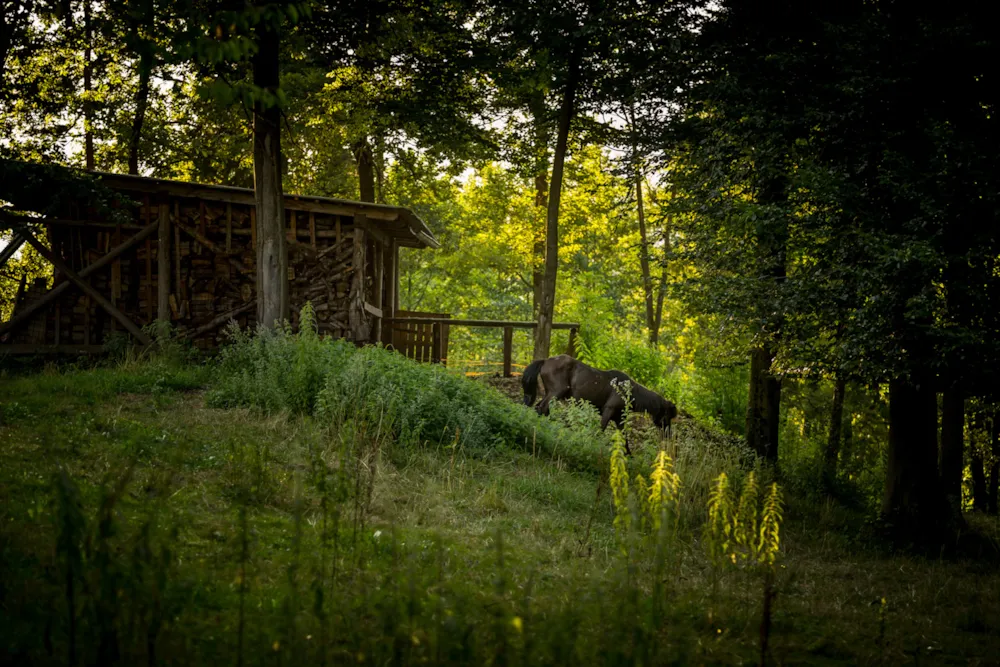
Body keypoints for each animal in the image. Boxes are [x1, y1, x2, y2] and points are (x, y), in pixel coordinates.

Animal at [524, 354, 680, 454]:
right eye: (668, 416)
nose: (669, 434)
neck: (629, 391)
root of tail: (546, 361)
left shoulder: (619, 418)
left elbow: (624, 436)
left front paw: (628, 454)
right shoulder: (608, 411)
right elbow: (601, 429)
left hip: (550, 393)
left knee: (540, 408)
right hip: (556, 392)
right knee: (542, 407)